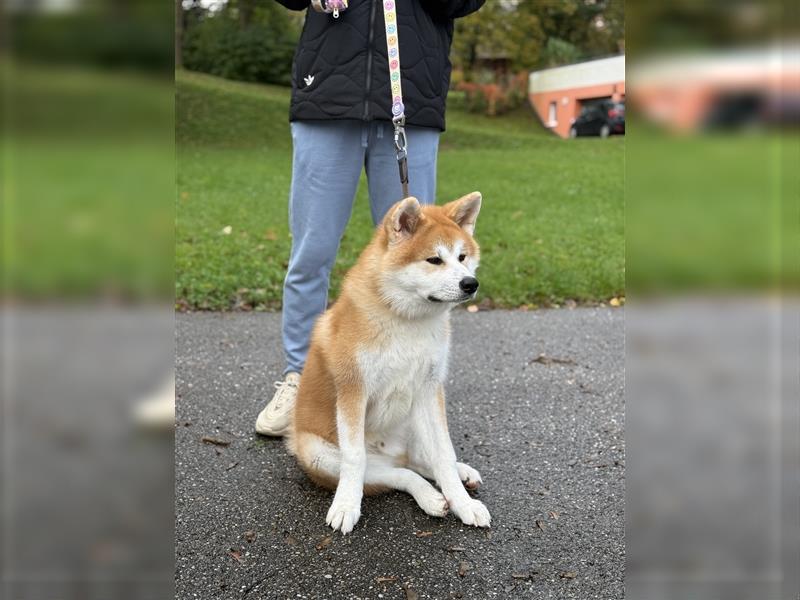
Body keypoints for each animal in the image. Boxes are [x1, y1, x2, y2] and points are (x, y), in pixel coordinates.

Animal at [286, 190, 488, 532]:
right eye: (434, 260)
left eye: (462, 257)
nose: (470, 283)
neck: (406, 321)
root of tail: (392, 454)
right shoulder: (353, 391)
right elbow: (355, 460)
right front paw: (345, 506)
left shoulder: (429, 389)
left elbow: (443, 456)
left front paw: (463, 504)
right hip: (318, 453)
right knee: (396, 474)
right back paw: (429, 497)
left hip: (414, 420)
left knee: (418, 462)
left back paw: (459, 476)